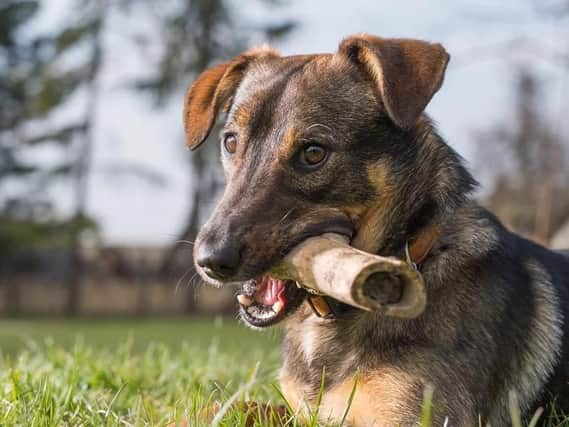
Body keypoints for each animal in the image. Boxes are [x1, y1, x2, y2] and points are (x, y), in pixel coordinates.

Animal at [184, 35, 568, 426]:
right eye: (231, 142)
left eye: (313, 152)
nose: (210, 261)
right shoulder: (299, 412)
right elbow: (218, 408)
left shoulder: (417, 417)